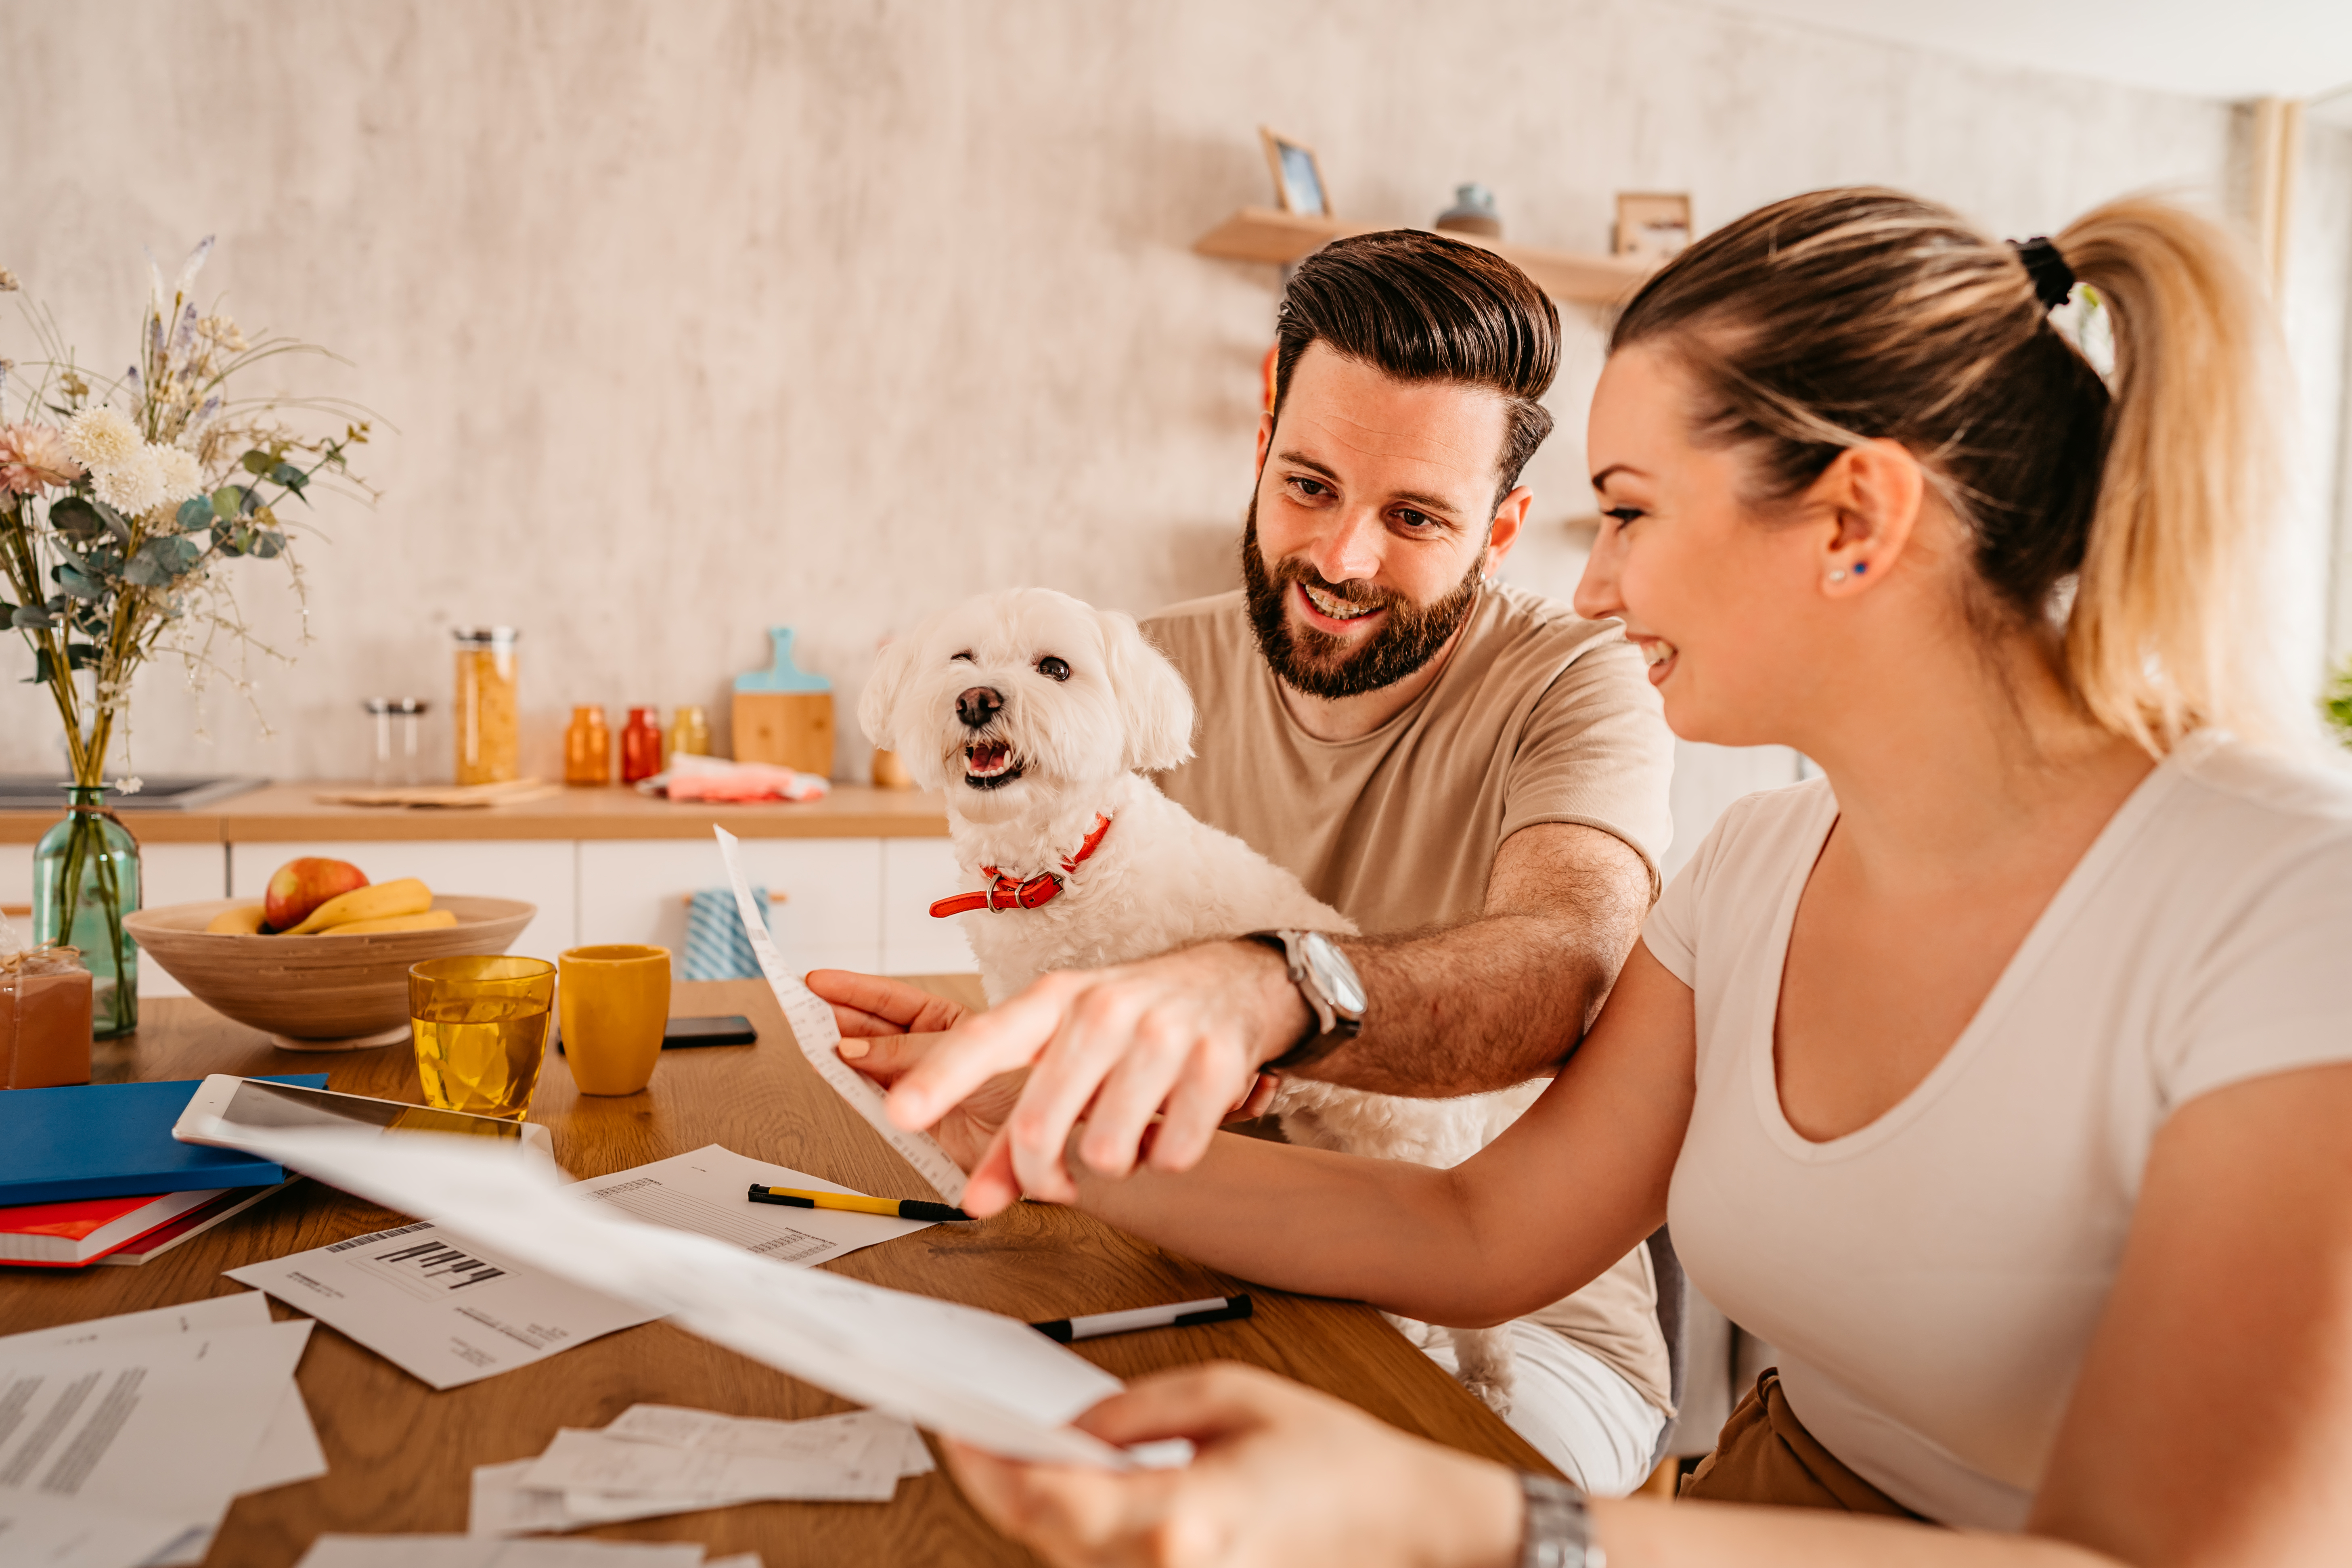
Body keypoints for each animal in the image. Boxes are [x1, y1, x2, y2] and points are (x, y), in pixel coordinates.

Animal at [870, 592, 1543, 1410]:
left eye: (1054, 668)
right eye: (961, 660)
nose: (976, 701)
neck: (1056, 871)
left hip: (1416, 1156)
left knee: (1476, 1309)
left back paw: (1487, 1380)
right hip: (1331, 1141)